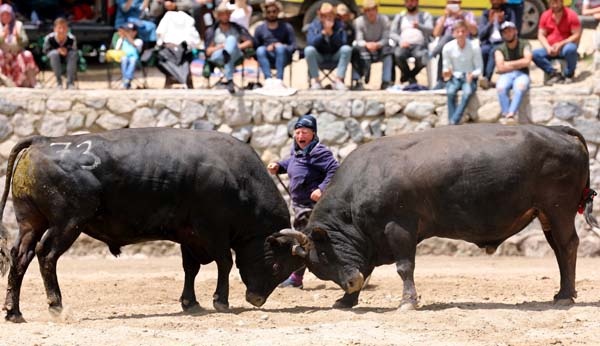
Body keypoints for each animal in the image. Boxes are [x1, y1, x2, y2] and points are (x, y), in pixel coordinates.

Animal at [0, 128, 302, 324]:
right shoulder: (212, 231)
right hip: (67, 224)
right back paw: (57, 306)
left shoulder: (188, 235)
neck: (239, 180)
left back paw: (14, 312)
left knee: (21, 257)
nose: (257, 299)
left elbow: (190, 268)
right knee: (47, 255)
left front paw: (191, 303)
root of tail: (44, 141)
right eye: (277, 266)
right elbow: (225, 262)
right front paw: (221, 301)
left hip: (31, 223)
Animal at [282, 123, 600, 308]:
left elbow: (404, 267)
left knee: (567, 246)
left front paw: (407, 302)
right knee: (558, 249)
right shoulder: (370, 239)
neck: (364, 179)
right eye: (318, 266)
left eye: (324, 255)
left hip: (559, 210)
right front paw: (347, 299)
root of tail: (557, 130)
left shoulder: (399, 228)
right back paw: (562, 292)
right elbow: (367, 267)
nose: (350, 283)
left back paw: (566, 295)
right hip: (545, 214)